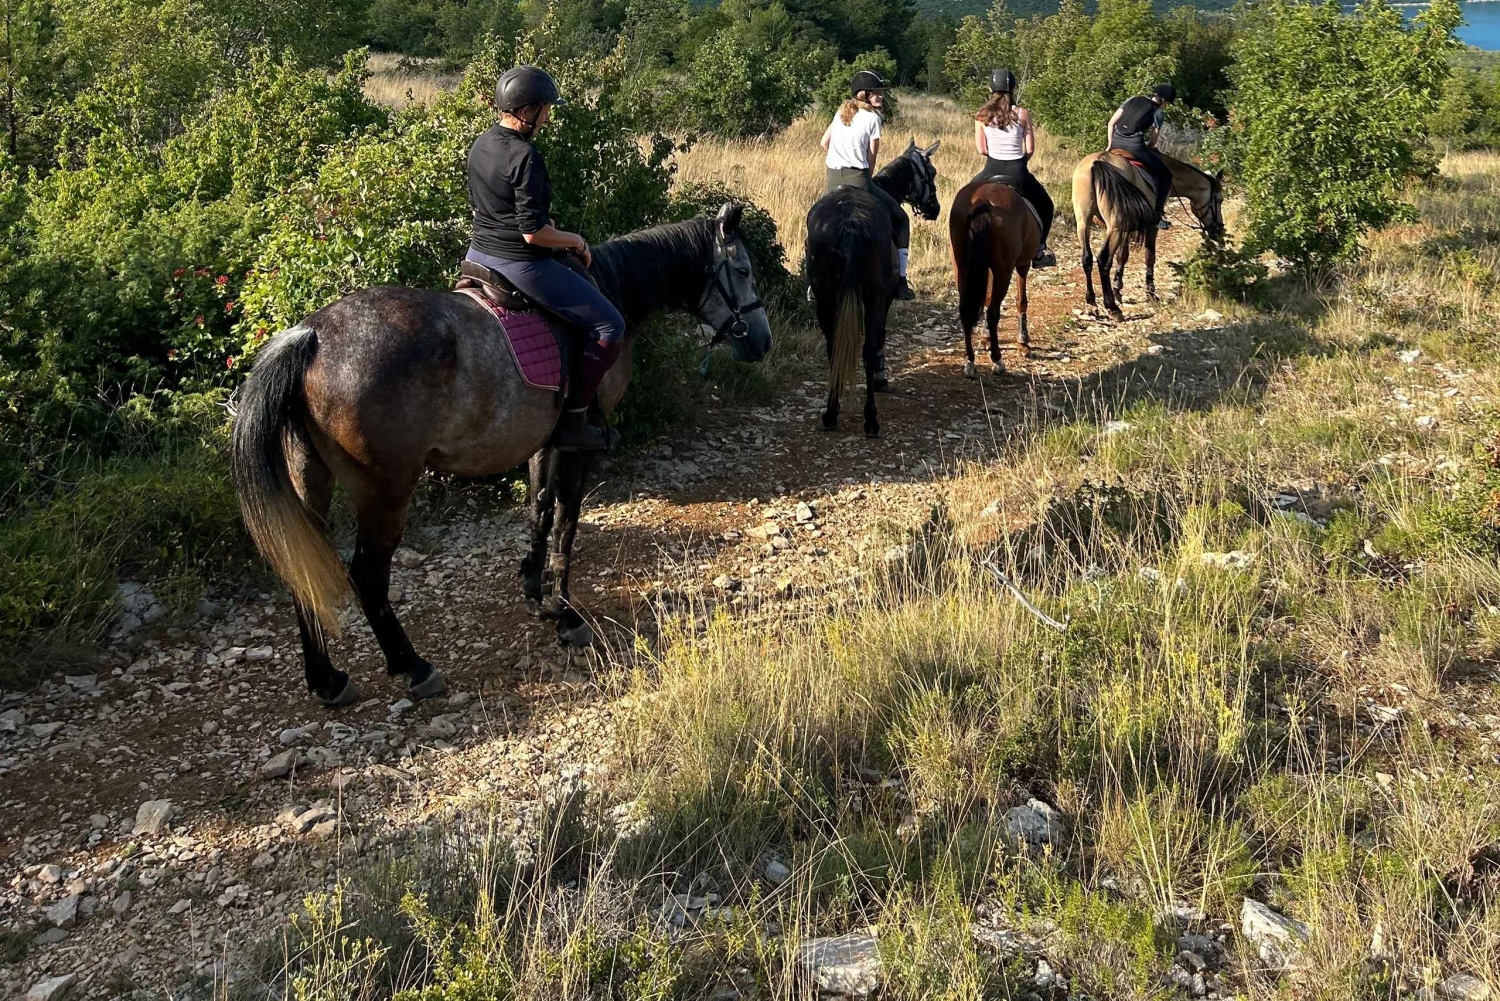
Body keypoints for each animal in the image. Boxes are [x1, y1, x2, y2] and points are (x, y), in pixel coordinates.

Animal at [231, 203, 771, 708]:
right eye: (744, 269)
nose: (763, 341)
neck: (608, 284)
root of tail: (313, 335)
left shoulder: (546, 441)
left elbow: (539, 509)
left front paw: (534, 591)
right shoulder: (580, 447)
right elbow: (566, 523)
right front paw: (566, 614)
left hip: (311, 479)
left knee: (304, 570)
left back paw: (326, 679)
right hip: (385, 491)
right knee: (367, 575)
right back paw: (413, 666)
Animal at [806, 138, 941, 438]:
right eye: (931, 173)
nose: (935, 208)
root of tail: (850, 220)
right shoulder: (885, 298)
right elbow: (880, 337)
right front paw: (880, 378)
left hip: (824, 298)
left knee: (833, 348)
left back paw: (831, 413)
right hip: (875, 298)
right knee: (867, 349)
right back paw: (870, 418)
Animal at [949, 177, 1042, 378]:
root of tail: (980, 199)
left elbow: (986, 298)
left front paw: (985, 339)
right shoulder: (1022, 264)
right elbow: (1021, 300)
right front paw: (1023, 342)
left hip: (961, 267)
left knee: (965, 309)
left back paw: (970, 362)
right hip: (1003, 270)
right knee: (993, 312)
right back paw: (997, 361)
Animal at [1071, 150, 1225, 321]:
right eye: (1220, 200)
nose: (1218, 230)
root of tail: (1096, 163)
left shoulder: (1126, 228)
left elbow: (1122, 256)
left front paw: (1118, 289)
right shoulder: (1150, 227)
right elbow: (1149, 256)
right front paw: (1150, 293)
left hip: (1083, 221)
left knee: (1086, 258)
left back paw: (1091, 303)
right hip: (1114, 226)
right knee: (1104, 260)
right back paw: (1112, 308)